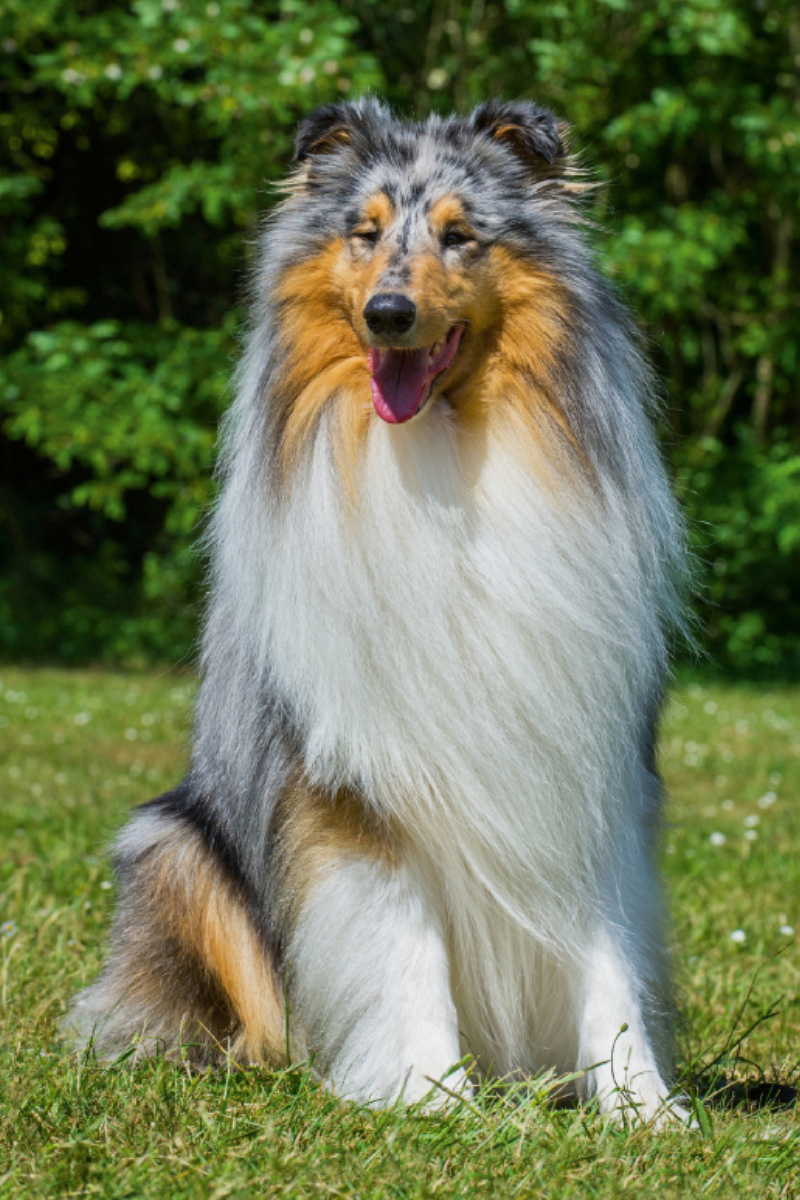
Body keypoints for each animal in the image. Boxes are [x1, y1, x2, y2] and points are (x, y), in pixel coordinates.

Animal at [67, 98, 690, 1118]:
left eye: (459, 234)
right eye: (364, 234)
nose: (387, 314)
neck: (440, 457)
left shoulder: (579, 754)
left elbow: (608, 958)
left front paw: (645, 1107)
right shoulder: (354, 780)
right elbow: (404, 950)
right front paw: (432, 1095)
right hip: (175, 845)